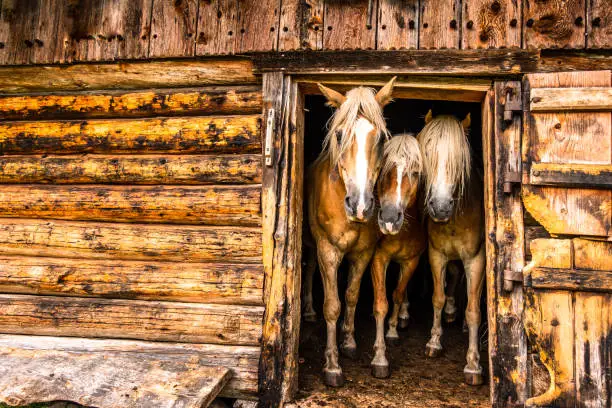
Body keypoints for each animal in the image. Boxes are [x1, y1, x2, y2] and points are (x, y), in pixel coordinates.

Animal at [306, 78, 396, 388]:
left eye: (380, 138)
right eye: (339, 134)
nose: (359, 204)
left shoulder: (363, 254)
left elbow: (352, 296)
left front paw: (349, 343)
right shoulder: (327, 250)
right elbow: (332, 305)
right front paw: (332, 366)